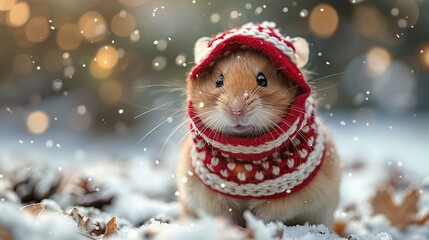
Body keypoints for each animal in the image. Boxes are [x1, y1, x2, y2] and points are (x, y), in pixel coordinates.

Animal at [176, 22, 340, 227]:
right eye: (218, 80)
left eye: (262, 79)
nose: (237, 110)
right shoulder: (203, 191)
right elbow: (223, 211)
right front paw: (236, 227)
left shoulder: (296, 196)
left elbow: (270, 210)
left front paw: (252, 222)